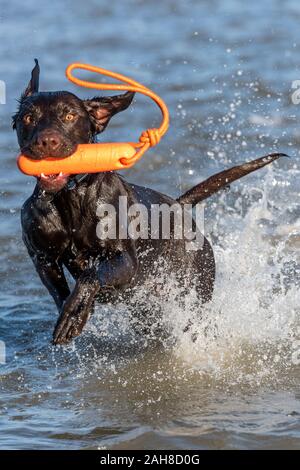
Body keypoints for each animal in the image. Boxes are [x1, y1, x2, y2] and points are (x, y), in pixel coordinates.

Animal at [13, 59, 286, 346]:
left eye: (69, 116)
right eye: (28, 118)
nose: (46, 141)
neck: (70, 200)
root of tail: (178, 205)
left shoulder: (125, 262)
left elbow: (89, 276)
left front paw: (74, 315)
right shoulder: (42, 257)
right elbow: (60, 291)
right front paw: (75, 313)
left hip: (195, 287)